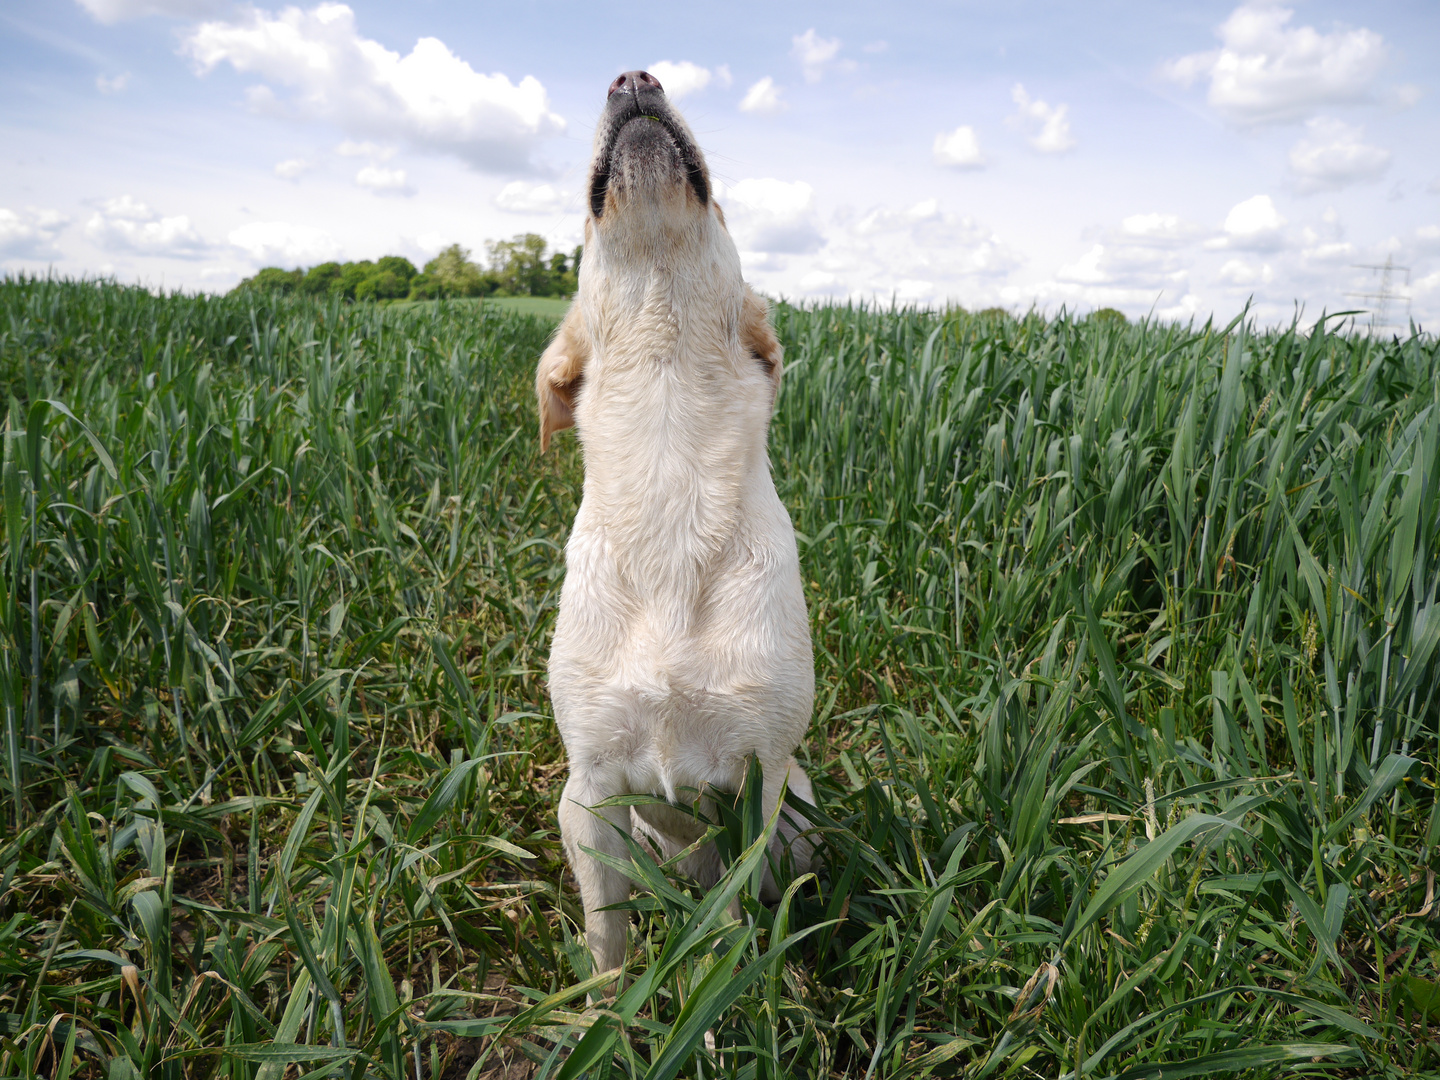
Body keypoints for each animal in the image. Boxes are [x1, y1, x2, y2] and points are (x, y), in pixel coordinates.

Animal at [535, 72, 817, 979]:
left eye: (721, 206)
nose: (633, 77)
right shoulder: (591, 790)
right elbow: (607, 941)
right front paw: (603, 1007)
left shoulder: (756, 786)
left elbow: (738, 918)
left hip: (802, 807)